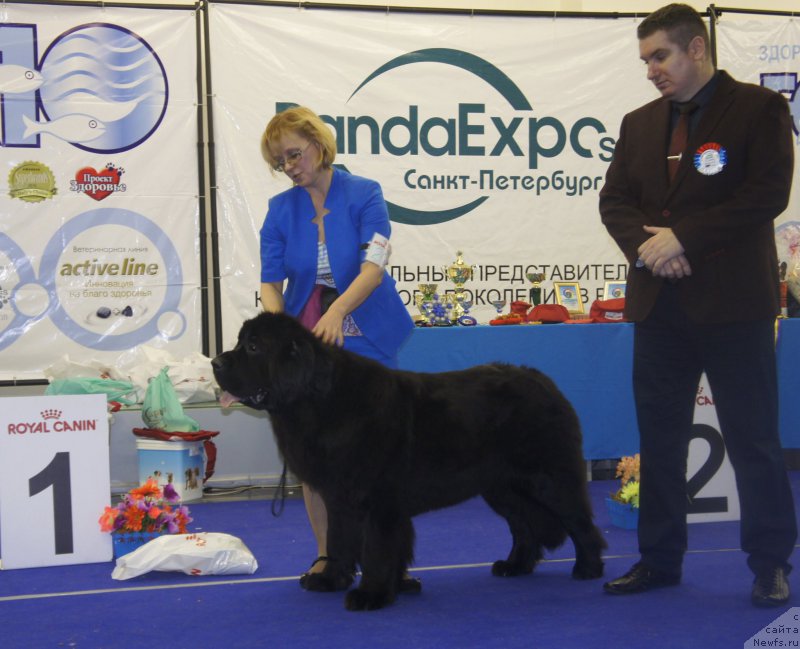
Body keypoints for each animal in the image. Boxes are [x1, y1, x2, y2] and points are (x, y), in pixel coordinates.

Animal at [212, 312, 608, 612]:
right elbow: (339, 540)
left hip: (548, 479)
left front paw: (371, 595)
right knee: (524, 526)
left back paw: (588, 568)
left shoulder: (378, 501)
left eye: (253, 347)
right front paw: (331, 579)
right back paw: (515, 566)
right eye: (240, 342)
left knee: (578, 520)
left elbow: (376, 549)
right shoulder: (341, 497)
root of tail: (542, 380)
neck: (318, 399)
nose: (215, 362)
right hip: (502, 487)